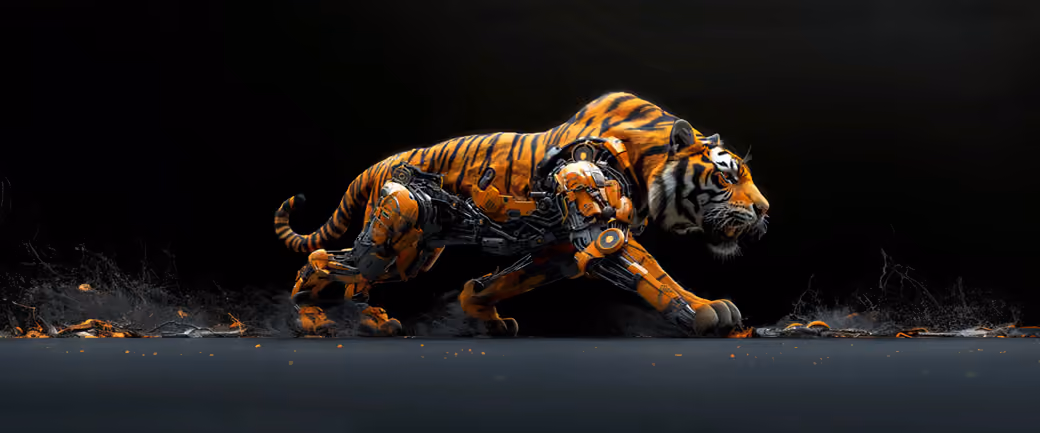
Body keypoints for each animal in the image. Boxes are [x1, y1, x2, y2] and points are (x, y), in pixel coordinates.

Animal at [274, 92, 770, 337]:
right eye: (726, 176)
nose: (765, 209)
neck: (642, 163)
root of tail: (377, 165)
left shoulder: (562, 248)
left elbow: (504, 280)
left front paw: (482, 311)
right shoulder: (598, 233)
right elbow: (655, 274)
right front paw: (707, 310)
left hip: (412, 255)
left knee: (353, 278)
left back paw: (368, 322)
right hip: (396, 228)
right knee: (324, 261)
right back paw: (309, 319)